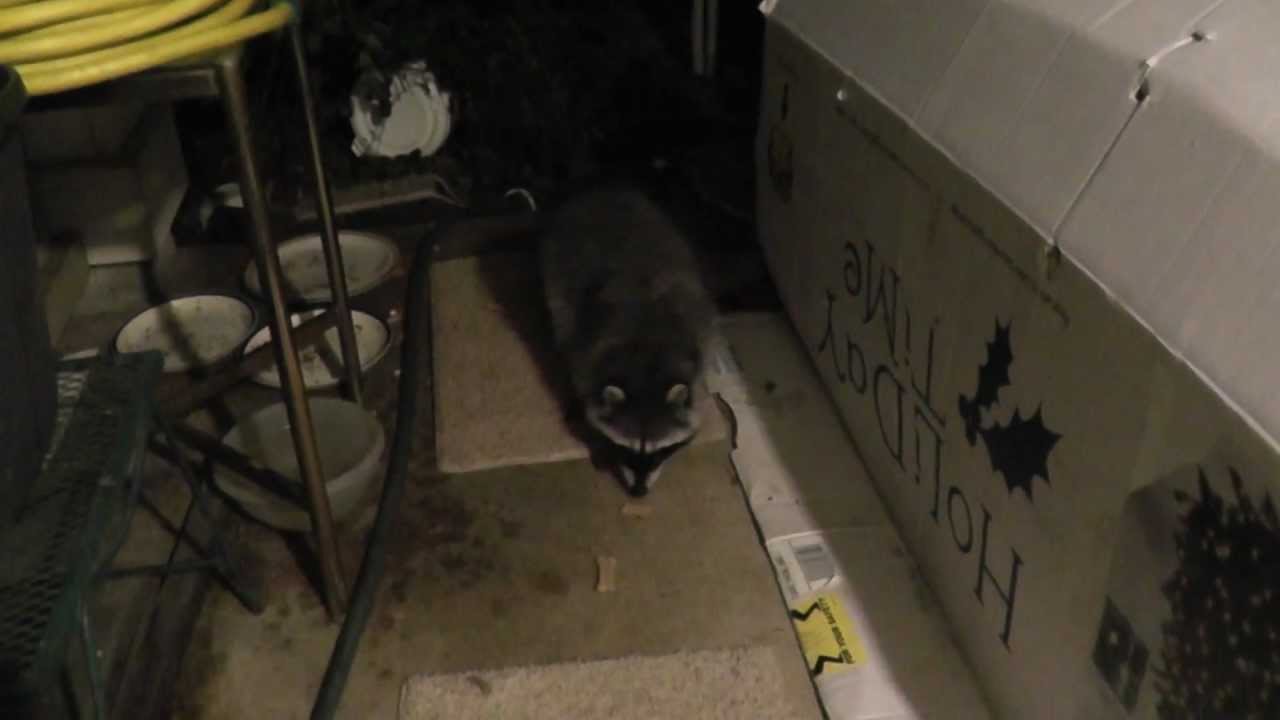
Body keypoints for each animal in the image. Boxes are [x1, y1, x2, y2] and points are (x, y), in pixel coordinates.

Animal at [538, 188, 715, 497]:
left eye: (658, 452)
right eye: (627, 450)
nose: (638, 493)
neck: (647, 368)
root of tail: (603, 191)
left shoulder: (696, 347)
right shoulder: (587, 353)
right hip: (557, 263)